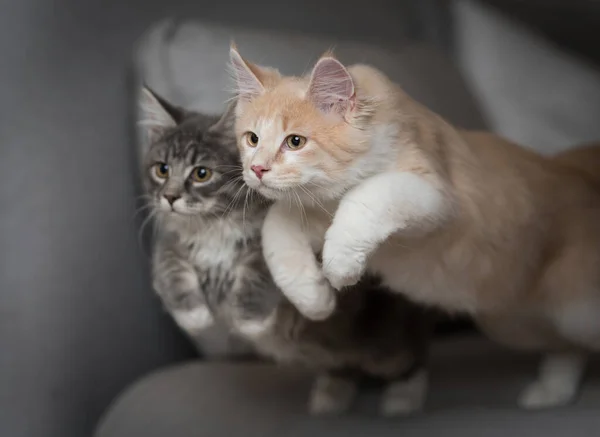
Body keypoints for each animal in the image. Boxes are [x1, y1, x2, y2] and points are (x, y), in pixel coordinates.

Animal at [139, 86, 434, 416]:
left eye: (201, 173)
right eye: (162, 170)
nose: (170, 197)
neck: (213, 226)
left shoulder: (273, 234)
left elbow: (260, 272)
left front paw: (250, 324)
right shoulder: (168, 242)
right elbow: (169, 270)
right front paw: (195, 318)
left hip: (381, 342)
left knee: (410, 357)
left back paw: (403, 398)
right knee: (345, 365)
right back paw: (330, 396)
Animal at [229, 46, 600, 408]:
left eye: (295, 142)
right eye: (252, 139)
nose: (257, 169)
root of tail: (579, 176)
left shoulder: (435, 196)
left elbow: (366, 196)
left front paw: (341, 267)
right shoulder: (314, 212)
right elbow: (276, 225)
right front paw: (313, 298)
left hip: (575, 311)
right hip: (509, 323)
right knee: (568, 348)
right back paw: (551, 392)